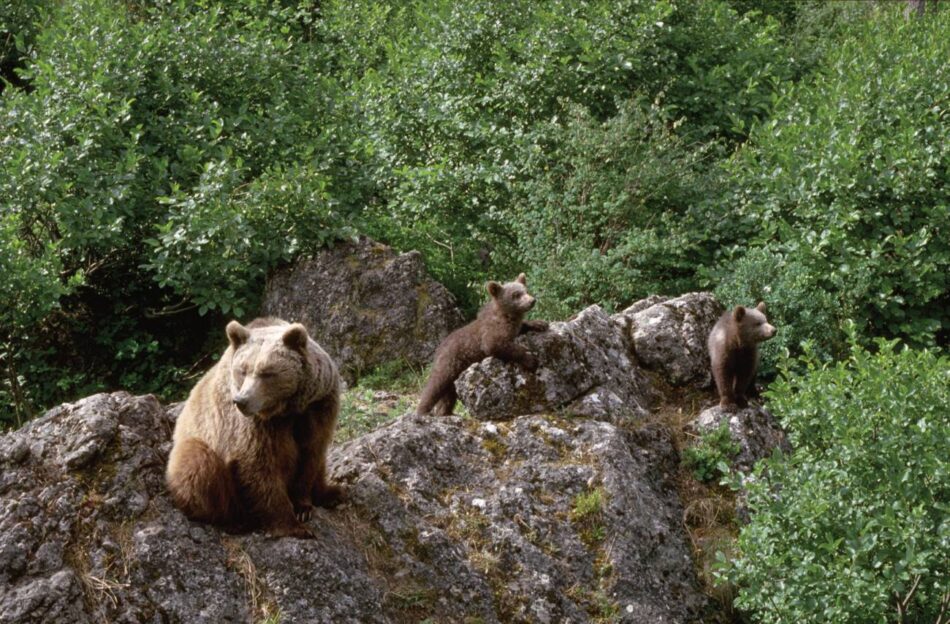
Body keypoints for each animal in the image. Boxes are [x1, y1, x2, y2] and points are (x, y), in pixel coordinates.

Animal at [166, 317, 342, 538]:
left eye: (267, 373)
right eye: (242, 370)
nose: (242, 401)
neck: (287, 410)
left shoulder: (318, 407)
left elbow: (311, 454)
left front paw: (303, 507)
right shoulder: (253, 426)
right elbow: (258, 465)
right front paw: (294, 526)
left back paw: (331, 493)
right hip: (200, 447)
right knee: (198, 465)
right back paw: (234, 521)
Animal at [417, 273, 548, 416]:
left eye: (526, 290)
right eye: (516, 294)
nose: (532, 300)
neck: (507, 316)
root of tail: (438, 349)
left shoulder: (512, 327)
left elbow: (522, 327)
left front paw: (540, 323)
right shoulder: (492, 332)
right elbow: (496, 345)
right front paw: (531, 359)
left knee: (448, 395)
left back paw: (445, 412)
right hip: (449, 363)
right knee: (435, 386)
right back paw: (422, 411)